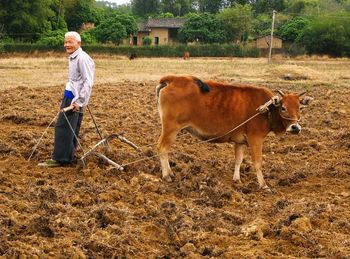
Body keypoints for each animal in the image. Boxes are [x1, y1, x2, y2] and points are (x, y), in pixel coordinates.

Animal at [156, 75, 312, 193]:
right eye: (283, 108)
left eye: (300, 108)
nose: (295, 127)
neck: (267, 109)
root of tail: (173, 79)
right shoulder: (255, 139)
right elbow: (257, 162)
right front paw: (264, 185)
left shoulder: (240, 142)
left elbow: (238, 160)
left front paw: (237, 179)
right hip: (171, 129)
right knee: (162, 148)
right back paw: (167, 175)